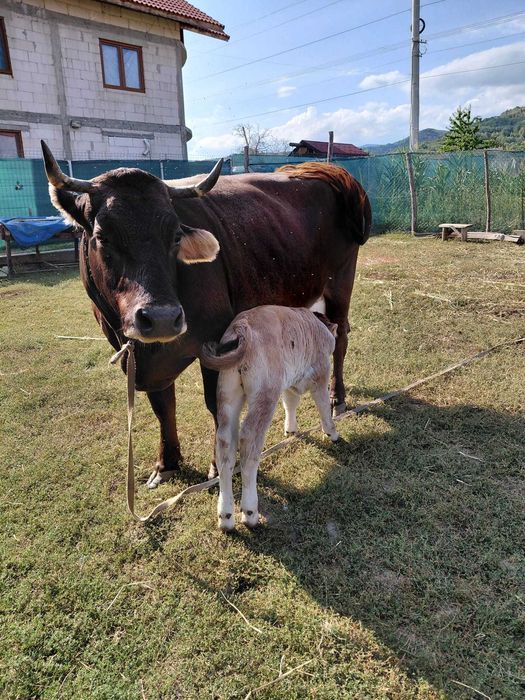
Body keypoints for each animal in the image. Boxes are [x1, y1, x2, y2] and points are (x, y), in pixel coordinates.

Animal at [41, 141, 371, 486]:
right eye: (102, 236)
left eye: (175, 235)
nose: (161, 317)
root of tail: (324, 171)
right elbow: (163, 406)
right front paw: (167, 463)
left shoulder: (218, 340)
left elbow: (217, 405)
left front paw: (217, 466)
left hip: (340, 284)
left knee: (340, 339)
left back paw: (336, 398)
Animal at [199, 305, 339, 531]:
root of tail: (242, 328)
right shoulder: (321, 371)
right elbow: (324, 405)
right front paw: (332, 433)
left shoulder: (290, 381)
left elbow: (290, 401)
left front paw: (290, 429)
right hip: (264, 394)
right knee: (249, 441)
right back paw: (250, 512)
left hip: (227, 393)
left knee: (224, 442)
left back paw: (225, 516)